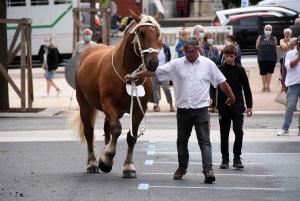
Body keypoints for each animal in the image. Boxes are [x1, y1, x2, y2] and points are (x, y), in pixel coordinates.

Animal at [70, 10, 162, 178]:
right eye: (141, 32)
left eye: (158, 34)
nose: (153, 63)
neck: (128, 73)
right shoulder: (108, 103)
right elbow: (117, 129)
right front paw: (106, 159)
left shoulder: (139, 108)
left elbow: (131, 136)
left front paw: (128, 166)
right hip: (85, 105)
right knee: (89, 132)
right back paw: (93, 163)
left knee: (107, 127)